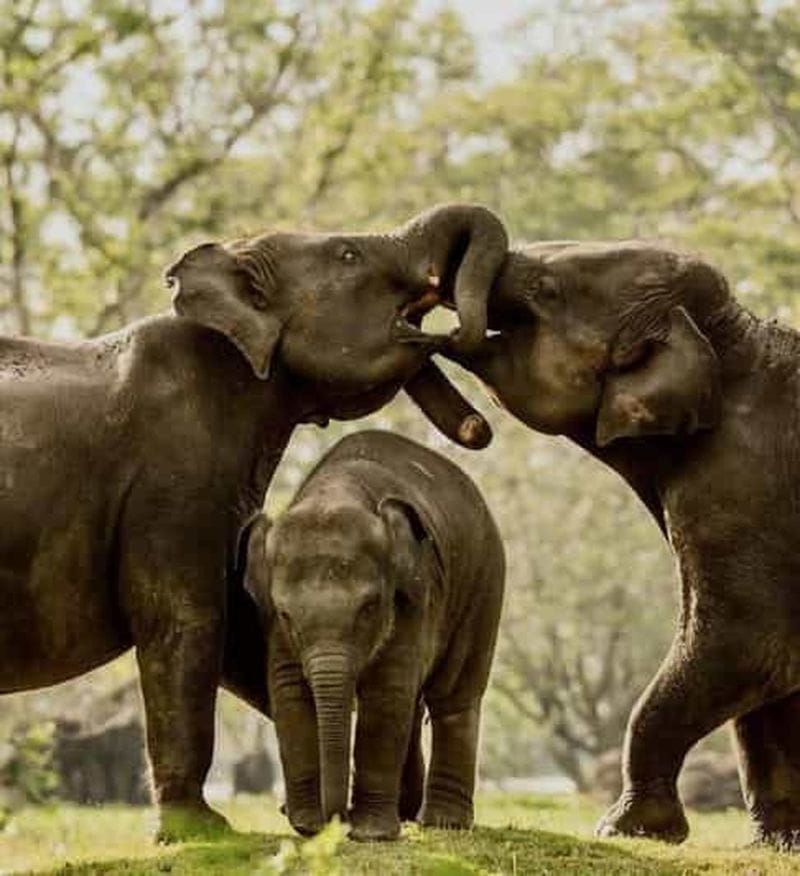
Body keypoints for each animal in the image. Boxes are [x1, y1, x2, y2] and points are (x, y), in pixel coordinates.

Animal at [244, 430, 505, 841]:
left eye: (369, 607)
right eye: (285, 614)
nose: (339, 817)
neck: (336, 491)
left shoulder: (414, 594)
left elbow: (386, 690)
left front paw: (370, 834)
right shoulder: (271, 624)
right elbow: (289, 690)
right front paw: (307, 826)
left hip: (484, 582)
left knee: (453, 697)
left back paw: (444, 823)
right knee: (415, 706)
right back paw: (409, 811)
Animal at [437, 237, 800, 849]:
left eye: (545, 288)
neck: (729, 341)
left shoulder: (742, 487)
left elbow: (748, 645)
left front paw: (628, 828)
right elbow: (772, 685)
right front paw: (774, 844)